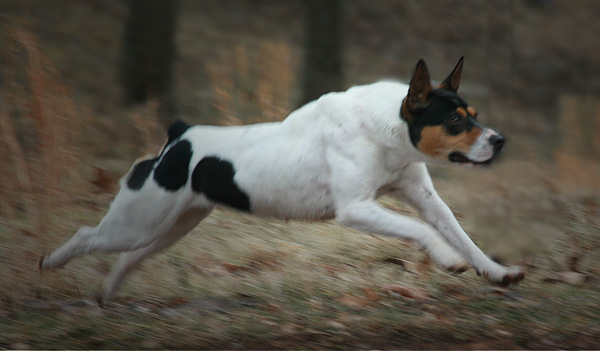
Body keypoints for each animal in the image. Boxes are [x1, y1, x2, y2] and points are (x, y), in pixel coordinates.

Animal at [38, 58, 524, 308]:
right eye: (456, 121)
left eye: (474, 116)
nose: (499, 140)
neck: (389, 129)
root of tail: (178, 139)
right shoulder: (356, 210)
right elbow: (422, 232)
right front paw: (447, 259)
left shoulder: (424, 199)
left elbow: (462, 235)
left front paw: (497, 272)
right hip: (137, 222)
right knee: (86, 235)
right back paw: (49, 263)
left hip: (168, 228)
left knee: (130, 258)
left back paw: (105, 294)